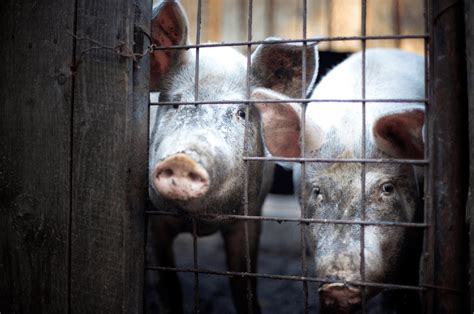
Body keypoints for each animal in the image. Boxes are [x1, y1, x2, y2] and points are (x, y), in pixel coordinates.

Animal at [148, 1, 318, 312]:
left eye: (241, 113)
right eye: (176, 103)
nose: (182, 159)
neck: (200, 223)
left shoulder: (251, 216)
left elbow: (244, 284)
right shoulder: (153, 221)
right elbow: (168, 288)